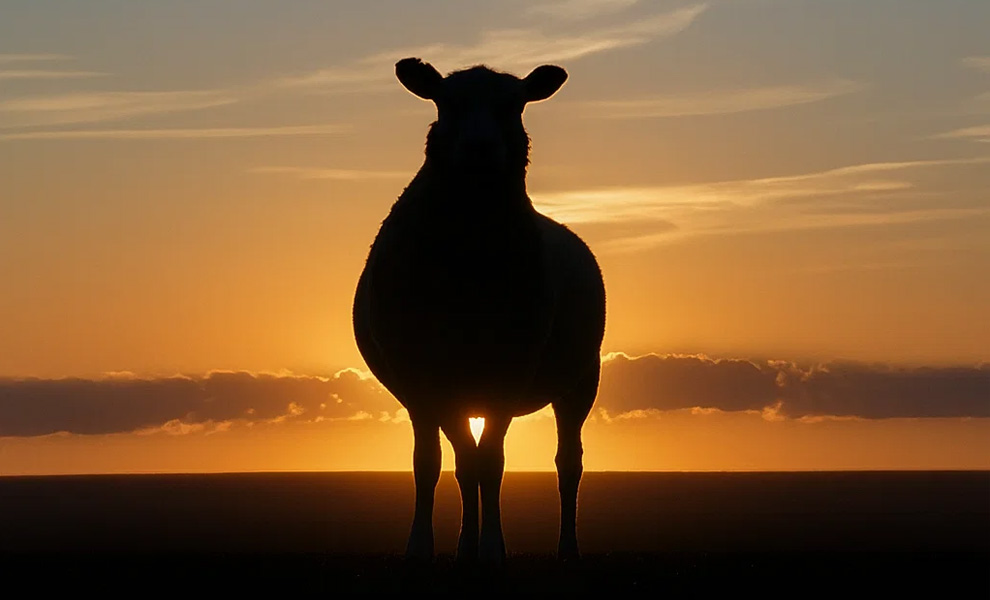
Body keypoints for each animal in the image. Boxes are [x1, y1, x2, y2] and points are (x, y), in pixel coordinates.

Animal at [352, 57, 606, 565]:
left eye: (515, 105)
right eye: (445, 102)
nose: (479, 148)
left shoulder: (509, 371)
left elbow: (492, 462)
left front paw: (491, 548)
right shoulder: (420, 378)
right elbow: (434, 464)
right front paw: (424, 547)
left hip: (581, 380)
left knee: (568, 463)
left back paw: (567, 547)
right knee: (463, 459)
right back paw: (465, 543)